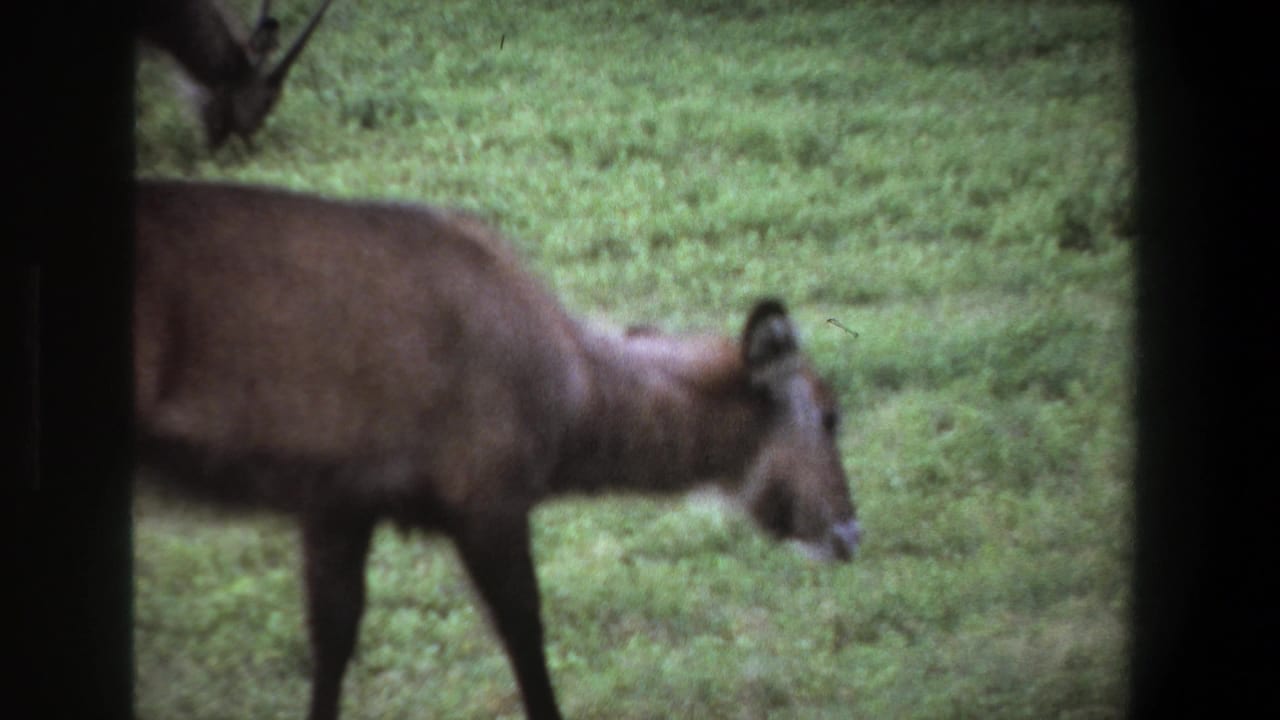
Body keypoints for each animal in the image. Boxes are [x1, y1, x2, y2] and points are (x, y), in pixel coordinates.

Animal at [134, 179, 863, 720]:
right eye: (829, 416)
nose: (850, 531)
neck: (570, 393)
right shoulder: (488, 501)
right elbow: (527, 640)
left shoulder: (337, 504)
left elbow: (332, 642)